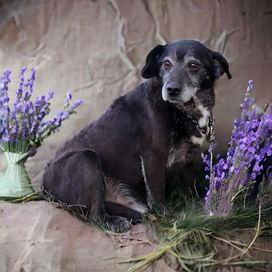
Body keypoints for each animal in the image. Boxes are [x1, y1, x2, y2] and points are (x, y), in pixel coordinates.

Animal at [42, 39, 232, 232]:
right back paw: (114, 221)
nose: (171, 89)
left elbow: (190, 187)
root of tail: (44, 189)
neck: (182, 110)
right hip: (85, 159)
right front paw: (166, 220)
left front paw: (197, 211)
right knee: (95, 215)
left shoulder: (188, 158)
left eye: (193, 65)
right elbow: (157, 197)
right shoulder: (153, 156)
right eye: (166, 64)